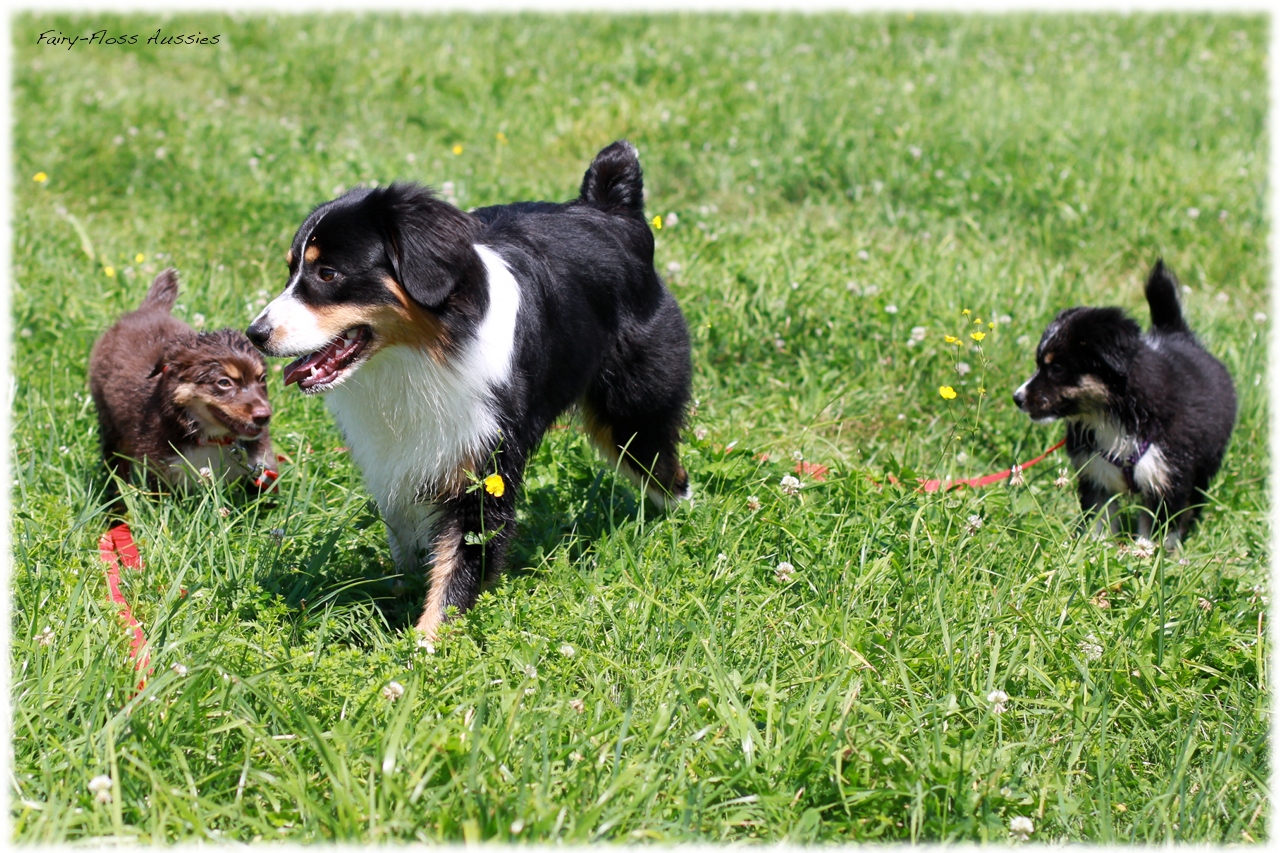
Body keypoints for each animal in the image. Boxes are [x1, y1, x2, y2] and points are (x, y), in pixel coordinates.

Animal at [91, 263, 279, 491]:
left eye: (261, 380)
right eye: (224, 383)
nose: (264, 416)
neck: (213, 439)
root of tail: (148, 310)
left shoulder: (261, 468)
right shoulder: (160, 471)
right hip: (110, 423)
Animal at [245, 139, 696, 637]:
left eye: (327, 273)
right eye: (290, 272)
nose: (254, 334)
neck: (423, 354)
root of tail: (610, 210)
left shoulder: (483, 467)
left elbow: (458, 566)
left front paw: (423, 645)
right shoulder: (395, 459)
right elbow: (407, 542)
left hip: (634, 413)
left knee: (668, 473)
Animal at [1013, 258, 1233, 548]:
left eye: (1057, 368)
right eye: (1040, 364)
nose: (1018, 398)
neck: (1114, 415)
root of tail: (1177, 334)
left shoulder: (1167, 477)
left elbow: (1156, 527)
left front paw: (1148, 553)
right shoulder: (1096, 473)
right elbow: (1099, 518)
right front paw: (1095, 548)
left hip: (1205, 464)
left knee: (1194, 502)